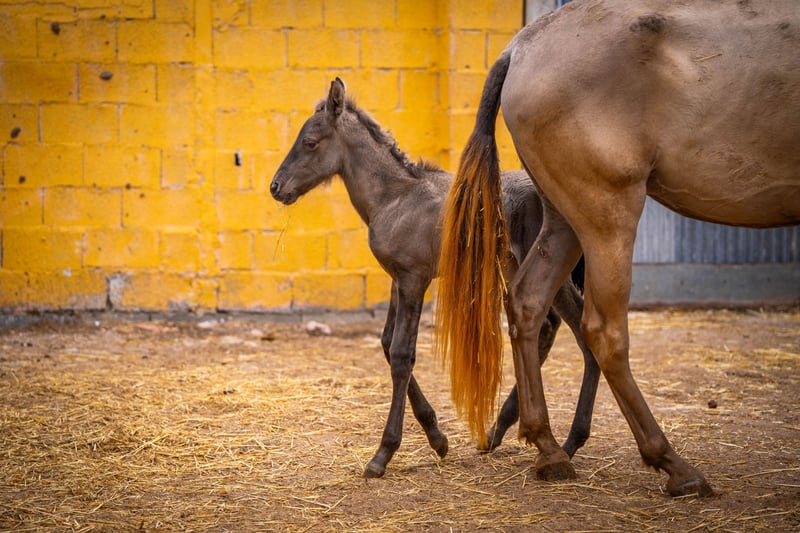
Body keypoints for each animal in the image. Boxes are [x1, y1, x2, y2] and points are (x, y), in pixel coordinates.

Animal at [270, 78, 600, 478]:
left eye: (309, 141)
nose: (276, 187)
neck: (396, 197)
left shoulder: (415, 278)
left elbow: (401, 354)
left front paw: (383, 453)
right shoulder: (398, 279)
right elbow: (386, 343)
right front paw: (437, 437)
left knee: (580, 334)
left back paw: (565, 443)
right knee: (548, 327)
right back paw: (505, 432)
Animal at [436, 0, 799, 497]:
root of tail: (521, 47)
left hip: (563, 221)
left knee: (528, 303)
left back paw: (550, 449)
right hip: (608, 216)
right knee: (604, 332)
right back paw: (672, 464)